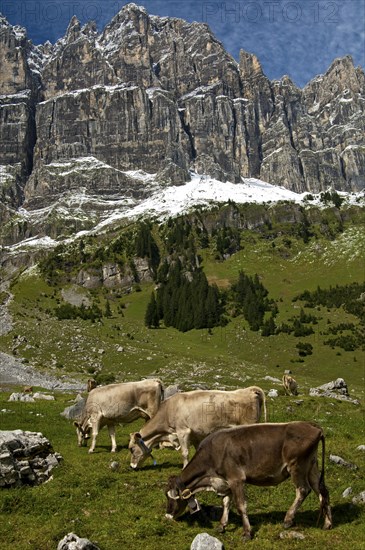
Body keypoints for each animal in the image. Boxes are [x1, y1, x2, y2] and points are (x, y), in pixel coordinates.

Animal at [128, 388, 264, 470]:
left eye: (131, 449)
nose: (131, 466)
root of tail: (251, 390)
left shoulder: (183, 431)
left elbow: (185, 452)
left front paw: (184, 468)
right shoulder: (195, 435)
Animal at [166, 422, 332, 544]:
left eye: (170, 497)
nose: (167, 515)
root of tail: (313, 426)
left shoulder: (236, 479)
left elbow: (241, 506)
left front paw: (247, 533)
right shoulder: (225, 483)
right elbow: (226, 503)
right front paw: (222, 525)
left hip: (297, 466)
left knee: (303, 490)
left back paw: (288, 519)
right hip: (312, 466)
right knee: (322, 491)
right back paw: (328, 524)